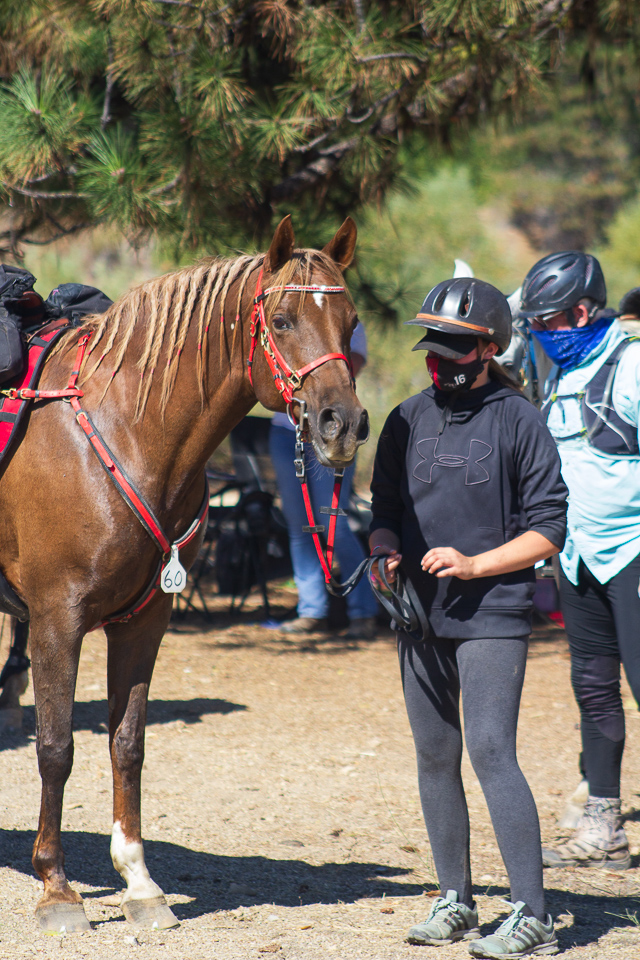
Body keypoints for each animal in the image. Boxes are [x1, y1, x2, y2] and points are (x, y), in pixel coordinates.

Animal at [0, 216, 370, 928]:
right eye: (282, 320)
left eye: (351, 320)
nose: (341, 424)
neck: (129, 429)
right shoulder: (56, 620)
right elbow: (55, 747)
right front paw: (57, 887)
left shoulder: (145, 621)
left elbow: (128, 744)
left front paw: (139, 882)